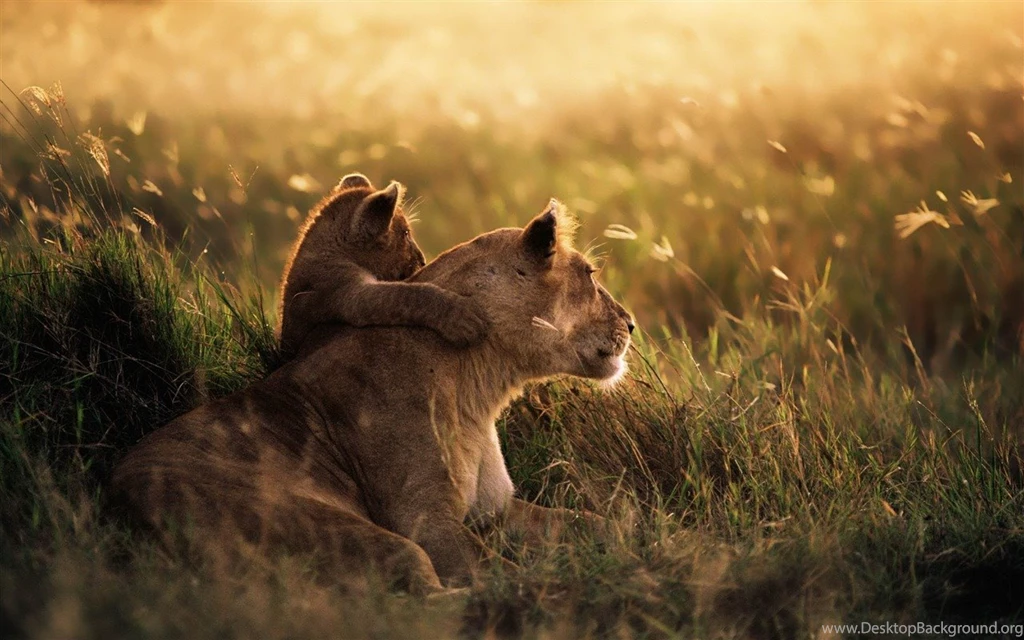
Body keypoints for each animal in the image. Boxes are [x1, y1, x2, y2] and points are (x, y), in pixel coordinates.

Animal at [111, 199, 634, 594]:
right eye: (590, 274)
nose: (631, 324)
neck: (480, 385)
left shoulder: (497, 510)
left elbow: (597, 522)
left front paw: (637, 541)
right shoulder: (423, 519)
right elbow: (498, 573)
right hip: (345, 530)